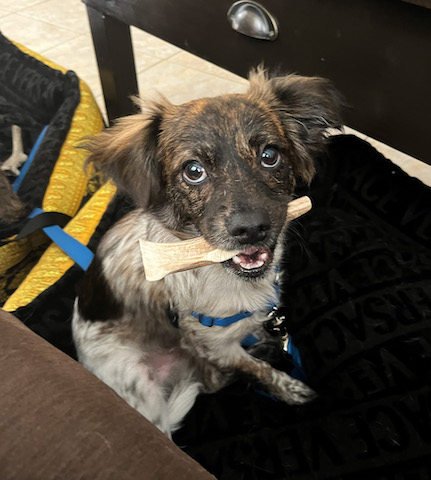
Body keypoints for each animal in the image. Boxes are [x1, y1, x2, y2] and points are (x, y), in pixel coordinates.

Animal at [71, 69, 340, 436]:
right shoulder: (211, 344)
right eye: (193, 170)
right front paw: (287, 388)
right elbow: (256, 370)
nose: (251, 228)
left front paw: (263, 340)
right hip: (139, 383)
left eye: (270, 155)